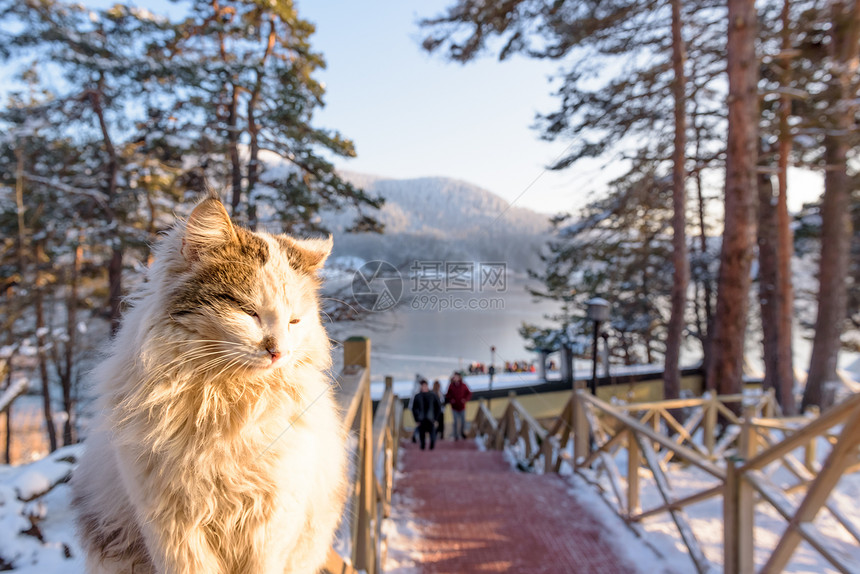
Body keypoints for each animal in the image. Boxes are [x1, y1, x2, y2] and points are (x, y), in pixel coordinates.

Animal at [71, 196, 346, 572]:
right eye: (248, 312)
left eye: (294, 321)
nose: (278, 352)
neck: (221, 403)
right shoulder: (174, 527)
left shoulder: (271, 523)